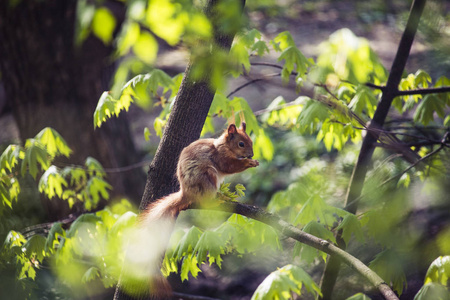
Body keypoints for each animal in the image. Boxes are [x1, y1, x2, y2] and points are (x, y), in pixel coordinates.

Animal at [135, 121, 258, 298]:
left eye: (250, 141)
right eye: (241, 143)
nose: (251, 154)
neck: (223, 146)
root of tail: (186, 194)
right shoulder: (220, 157)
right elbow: (229, 166)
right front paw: (249, 163)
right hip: (208, 176)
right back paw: (219, 199)